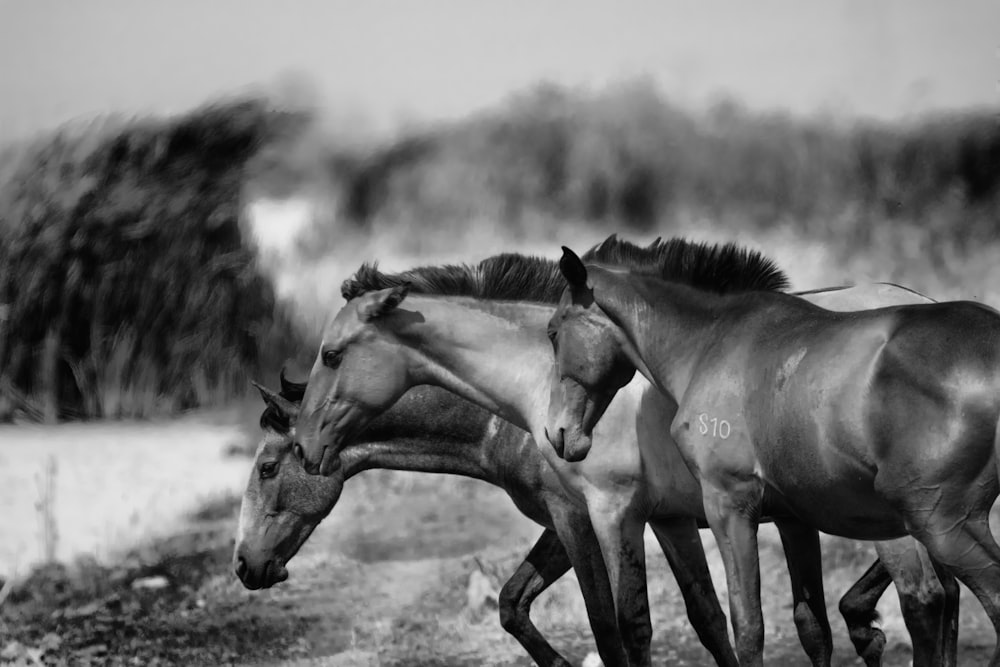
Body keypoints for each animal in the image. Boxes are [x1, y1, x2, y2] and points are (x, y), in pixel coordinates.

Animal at [548, 241, 1000, 667]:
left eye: (553, 331)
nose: (559, 434)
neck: (710, 343)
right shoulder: (792, 519)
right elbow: (813, 626)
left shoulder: (729, 504)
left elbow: (748, 626)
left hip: (942, 524)